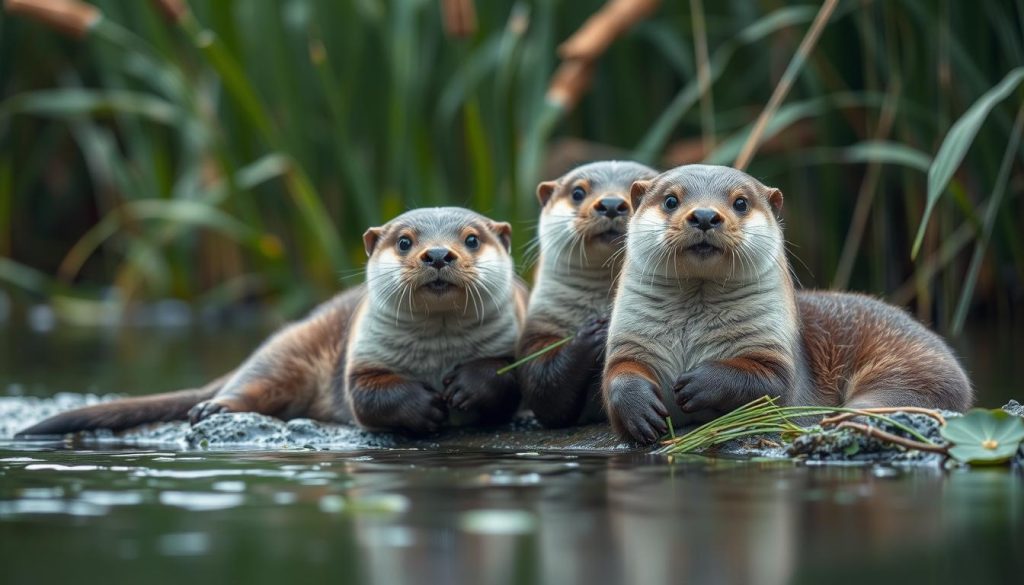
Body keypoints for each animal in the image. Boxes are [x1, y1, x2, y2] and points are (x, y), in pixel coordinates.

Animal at [18, 207, 528, 437]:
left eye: (471, 238)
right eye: (404, 241)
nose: (438, 253)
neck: (436, 356)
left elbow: (507, 375)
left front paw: (468, 387)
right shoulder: (361, 360)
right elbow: (367, 397)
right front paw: (423, 407)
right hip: (289, 350)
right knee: (252, 380)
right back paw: (216, 409)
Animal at [602, 165, 972, 444]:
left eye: (740, 203)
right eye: (670, 200)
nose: (705, 215)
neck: (691, 335)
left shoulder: (774, 354)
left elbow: (769, 383)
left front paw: (700, 383)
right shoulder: (629, 344)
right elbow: (617, 377)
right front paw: (638, 409)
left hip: (910, 370)